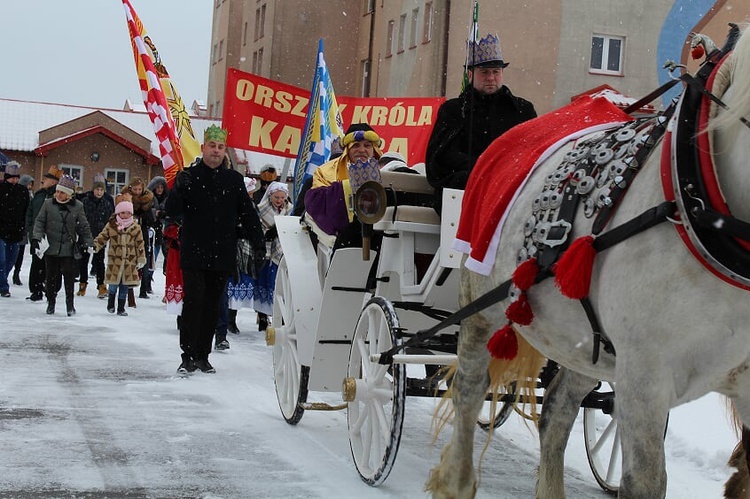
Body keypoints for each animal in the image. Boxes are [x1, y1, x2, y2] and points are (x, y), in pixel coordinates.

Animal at [432, 27, 750, 499]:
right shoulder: (644, 376)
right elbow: (645, 481)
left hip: (586, 344)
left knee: (556, 411)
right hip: (480, 304)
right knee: (470, 389)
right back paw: (456, 480)